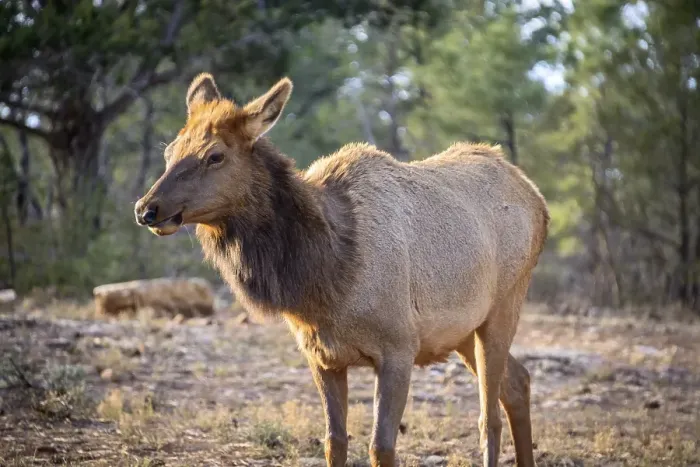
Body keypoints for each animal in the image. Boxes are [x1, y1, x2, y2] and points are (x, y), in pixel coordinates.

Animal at [134, 73, 549, 467]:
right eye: (170, 151)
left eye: (215, 155)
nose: (146, 209)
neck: (327, 279)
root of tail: (537, 199)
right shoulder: (322, 356)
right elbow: (334, 442)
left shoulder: (399, 349)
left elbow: (381, 447)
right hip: (462, 330)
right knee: (518, 381)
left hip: (505, 305)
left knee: (488, 415)